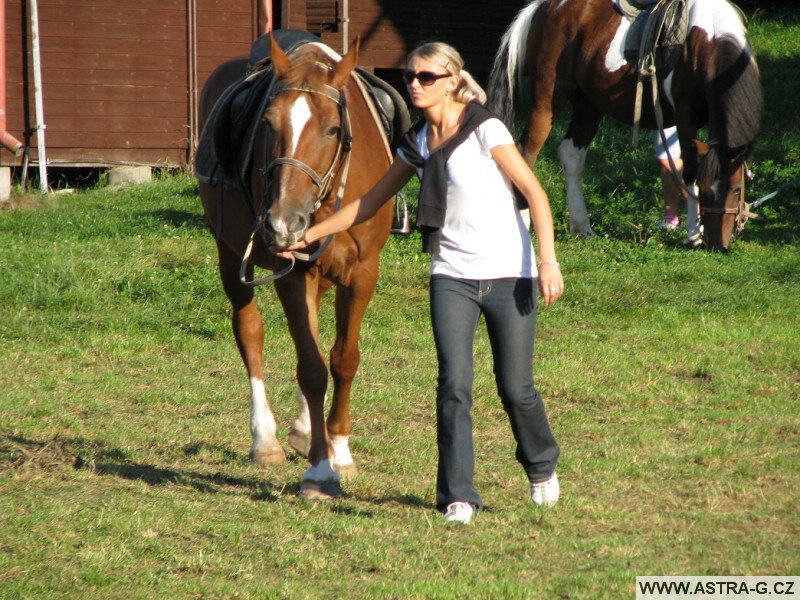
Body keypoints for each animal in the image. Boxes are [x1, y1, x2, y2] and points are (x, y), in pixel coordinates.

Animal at [197, 34, 396, 502]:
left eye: (333, 129)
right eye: (268, 124)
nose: (283, 223)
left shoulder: (363, 273)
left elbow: (343, 359)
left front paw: (339, 448)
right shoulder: (291, 273)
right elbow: (311, 367)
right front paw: (321, 471)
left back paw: (308, 428)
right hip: (229, 254)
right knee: (249, 332)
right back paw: (265, 439)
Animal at [488, 0, 764, 250]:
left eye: (736, 189)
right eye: (706, 191)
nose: (716, 244)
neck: (707, 41)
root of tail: (542, 7)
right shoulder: (685, 118)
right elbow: (689, 172)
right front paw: (693, 235)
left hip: (587, 105)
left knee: (570, 155)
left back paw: (582, 227)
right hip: (547, 101)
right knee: (526, 153)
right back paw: (525, 222)